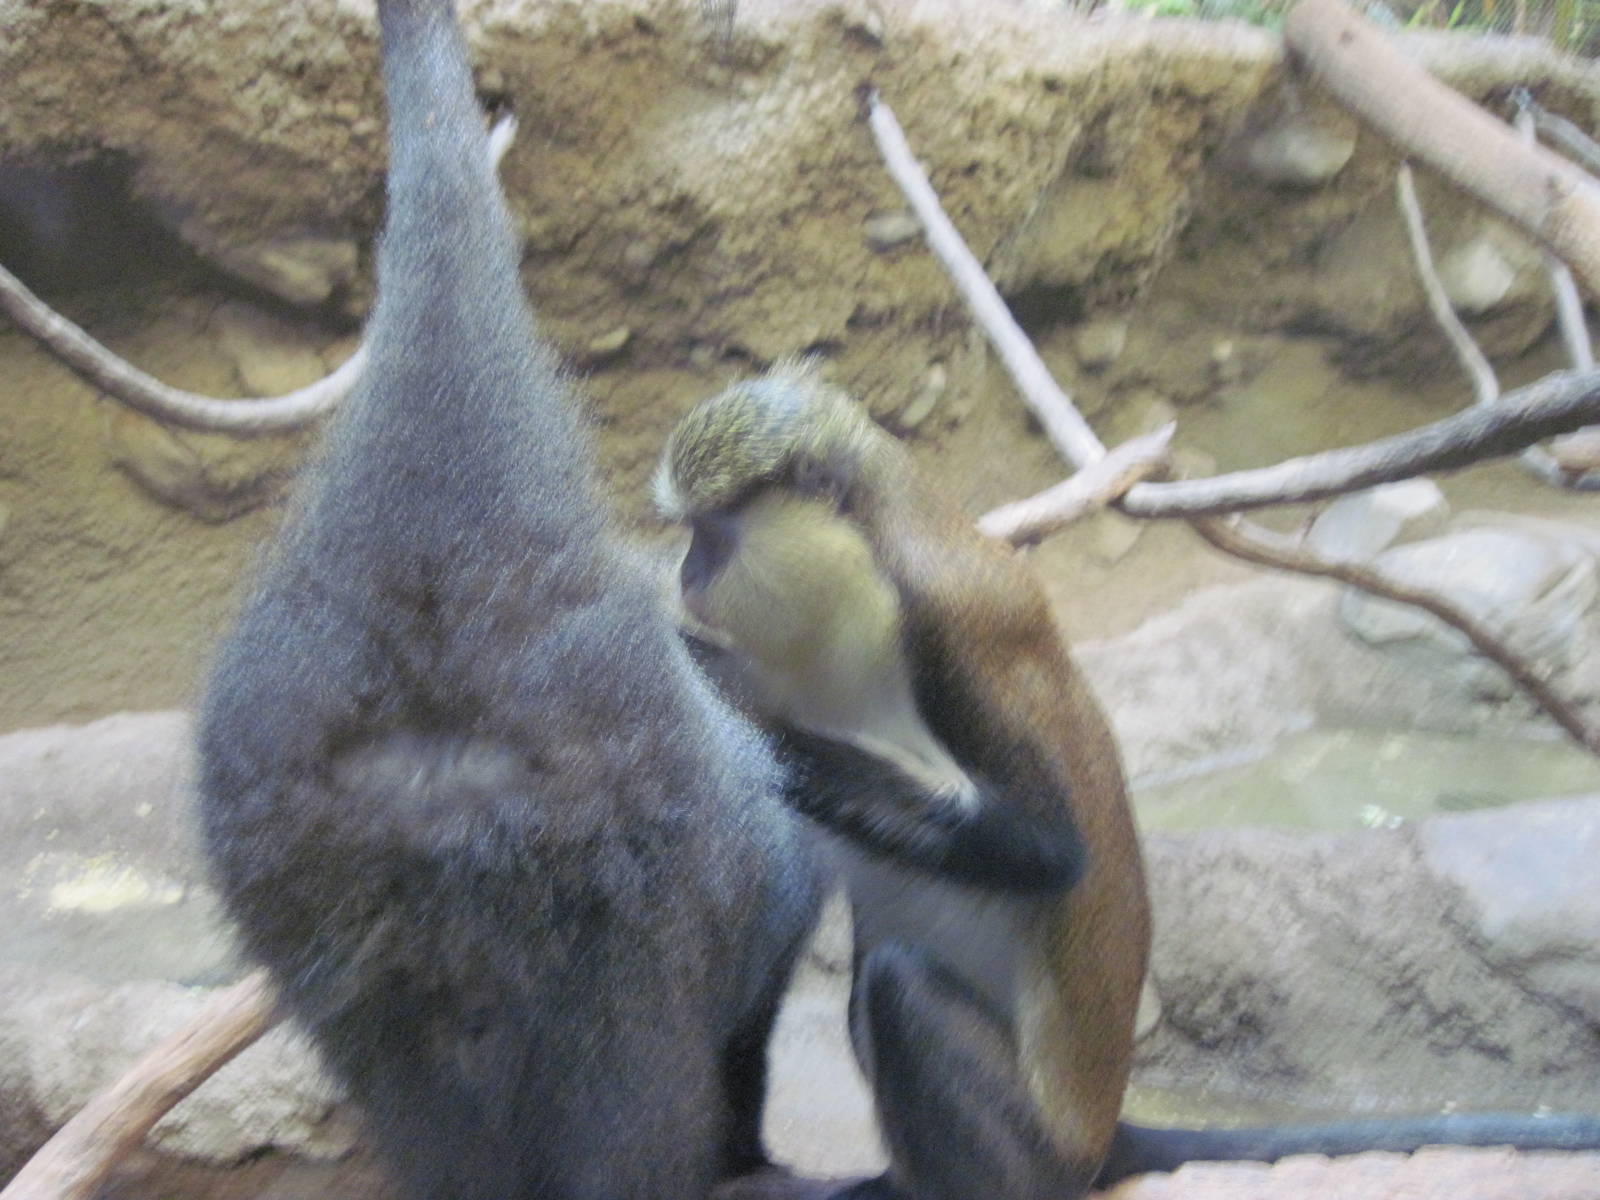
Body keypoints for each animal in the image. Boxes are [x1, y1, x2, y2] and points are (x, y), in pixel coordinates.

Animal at [654, 363, 1600, 1199]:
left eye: (714, 533)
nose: (686, 574)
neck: (860, 574)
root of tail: (1105, 1135)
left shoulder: (951, 634)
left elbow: (1048, 848)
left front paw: (728, 696)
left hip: (1035, 1149)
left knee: (899, 987)